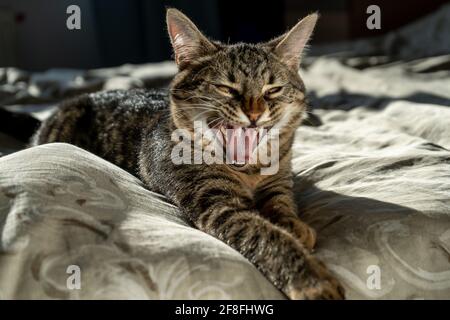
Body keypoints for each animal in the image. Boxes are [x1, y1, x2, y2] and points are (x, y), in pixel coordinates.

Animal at [33, 8, 344, 298]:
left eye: (273, 89)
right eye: (226, 88)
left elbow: (281, 202)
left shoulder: (278, 179)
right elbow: (265, 236)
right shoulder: (219, 204)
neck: (249, 171)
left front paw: (293, 224)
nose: (255, 114)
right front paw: (312, 280)